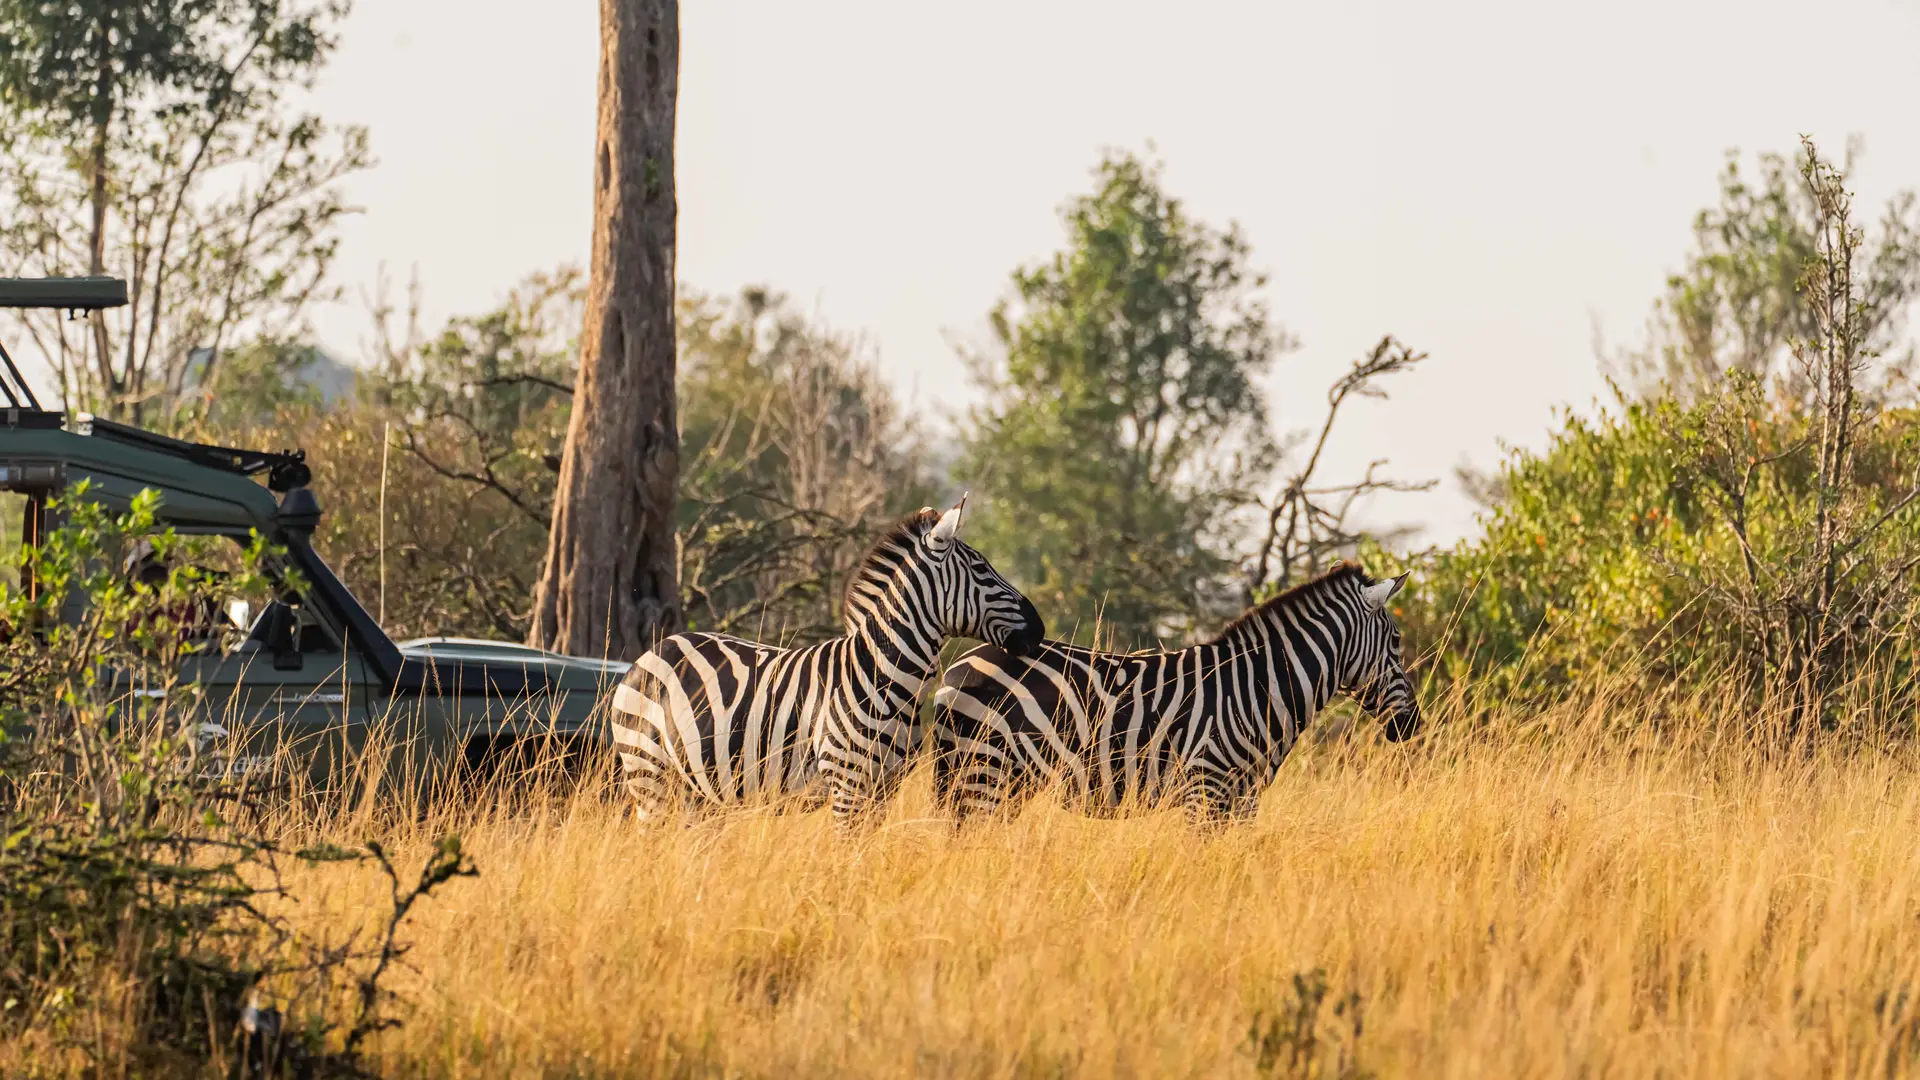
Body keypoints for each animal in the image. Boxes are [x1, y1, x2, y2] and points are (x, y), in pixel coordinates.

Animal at [608, 497, 1045, 825]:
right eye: (982, 570)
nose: (1040, 629)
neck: (883, 677)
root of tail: (652, 652)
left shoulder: (884, 789)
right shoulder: (847, 786)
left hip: (698, 789)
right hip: (649, 772)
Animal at [931, 561, 1419, 825]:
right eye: (1396, 641)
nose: (1413, 725)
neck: (1260, 690)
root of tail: (959, 665)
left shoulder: (1244, 799)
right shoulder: (1206, 787)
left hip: (999, 781)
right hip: (984, 771)